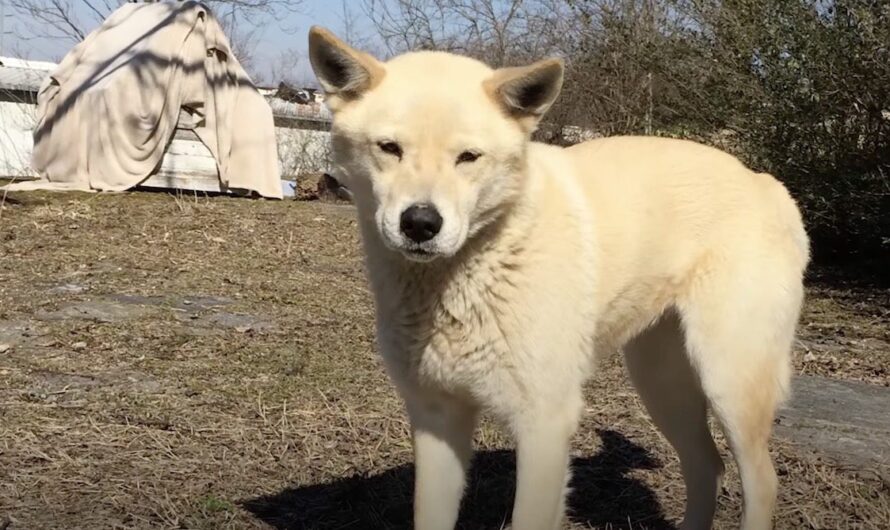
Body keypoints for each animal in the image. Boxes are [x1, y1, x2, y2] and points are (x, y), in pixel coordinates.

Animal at [308, 25, 808, 528]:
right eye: (389, 148)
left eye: (469, 157)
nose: (420, 223)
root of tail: (765, 182)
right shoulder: (436, 418)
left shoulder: (544, 425)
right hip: (662, 382)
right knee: (706, 465)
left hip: (730, 383)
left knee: (761, 481)